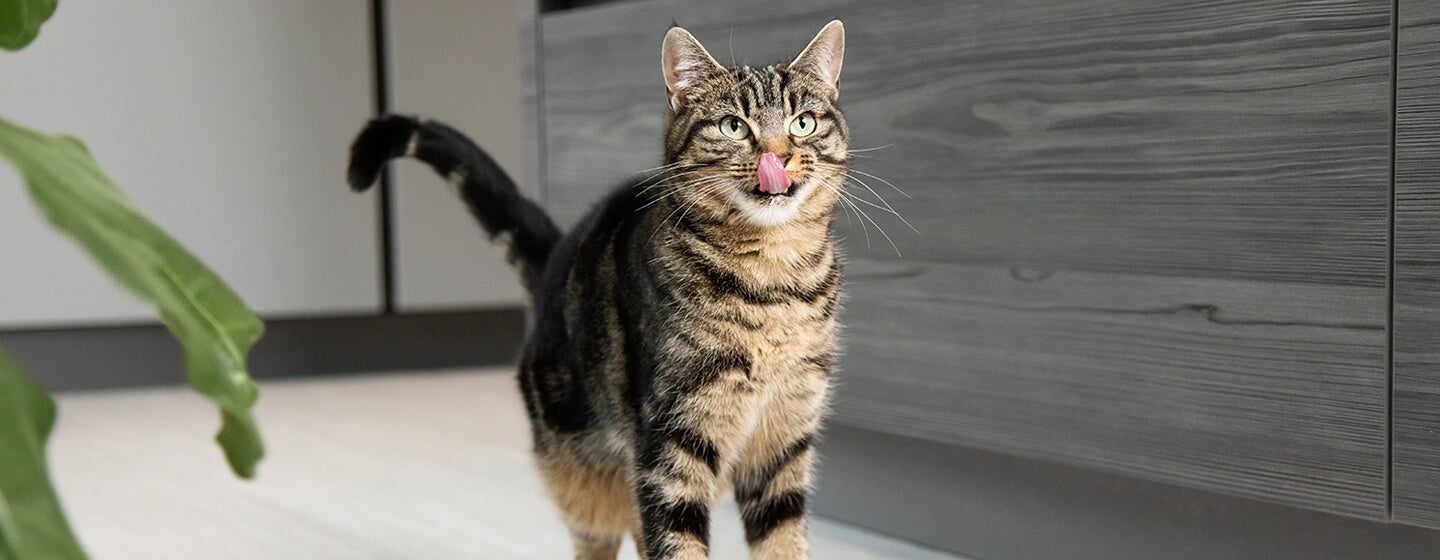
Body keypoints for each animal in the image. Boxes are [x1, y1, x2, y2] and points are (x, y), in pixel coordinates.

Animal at [344, 19, 846, 555]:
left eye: (803, 123)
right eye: (734, 126)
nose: (778, 156)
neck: (773, 284)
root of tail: (554, 261)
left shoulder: (783, 441)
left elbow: (783, 541)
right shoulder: (671, 445)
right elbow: (678, 543)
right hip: (581, 476)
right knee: (598, 539)